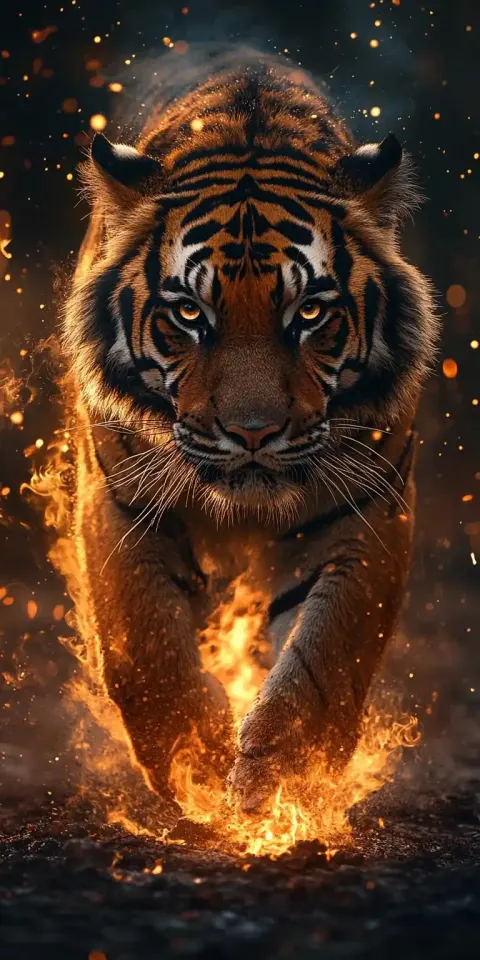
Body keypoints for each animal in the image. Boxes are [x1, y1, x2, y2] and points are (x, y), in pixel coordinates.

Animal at [63, 52, 438, 816]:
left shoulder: (372, 510)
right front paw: (196, 764)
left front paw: (284, 774)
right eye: (188, 313)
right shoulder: (117, 500)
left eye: (310, 313)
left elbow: (326, 656)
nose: (253, 431)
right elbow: (144, 644)